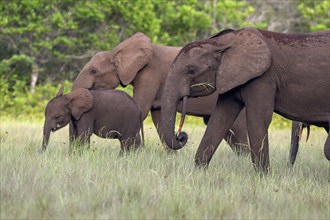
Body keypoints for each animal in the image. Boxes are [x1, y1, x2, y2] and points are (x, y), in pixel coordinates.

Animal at [71, 31, 249, 154]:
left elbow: (141, 109)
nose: (180, 135)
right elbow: (159, 118)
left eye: (94, 71)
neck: (118, 51)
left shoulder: (150, 74)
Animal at [160, 27, 330, 172]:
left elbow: (257, 120)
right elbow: (219, 119)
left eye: (190, 70)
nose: (181, 135)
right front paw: (199, 172)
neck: (224, 42)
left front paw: (263, 178)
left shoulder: (263, 77)